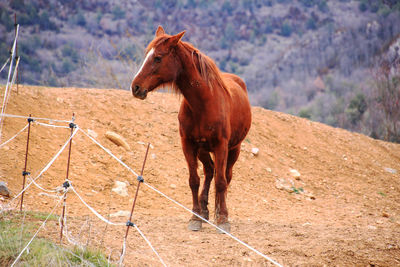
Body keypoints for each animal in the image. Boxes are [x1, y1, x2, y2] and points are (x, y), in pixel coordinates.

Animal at [130, 26, 250, 233]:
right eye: (147, 55)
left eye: (158, 58)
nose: (136, 87)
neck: (204, 103)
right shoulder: (188, 144)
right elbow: (194, 180)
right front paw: (195, 217)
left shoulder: (221, 146)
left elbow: (221, 182)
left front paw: (223, 219)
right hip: (203, 150)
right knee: (209, 172)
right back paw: (205, 211)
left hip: (234, 149)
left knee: (225, 176)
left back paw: (219, 211)